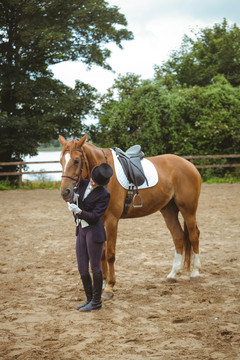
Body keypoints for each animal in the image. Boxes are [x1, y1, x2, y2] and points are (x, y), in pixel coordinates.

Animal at [59, 134, 202, 300]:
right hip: (169, 210)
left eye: (76, 160)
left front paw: (109, 287)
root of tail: (189, 165)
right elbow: (101, 253)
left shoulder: (112, 221)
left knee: (193, 236)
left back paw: (195, 273)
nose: (65, 192)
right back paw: (172, 274)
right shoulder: (99, 220)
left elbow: (110, 254)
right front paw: (102, 284)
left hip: (188, 210)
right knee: (178, 237)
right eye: (60, 160)